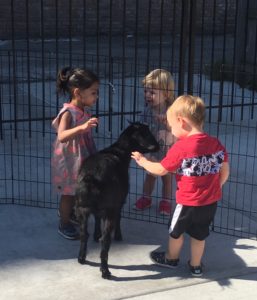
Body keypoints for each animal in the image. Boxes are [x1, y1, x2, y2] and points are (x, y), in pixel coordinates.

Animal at [75, 121, 158, 278]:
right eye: (146, 133)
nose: (158, 145)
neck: (118, 152)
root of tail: (92, 177)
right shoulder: (118, 202)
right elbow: (119, 216)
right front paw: (118, 235)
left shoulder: (97, 209)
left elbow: (96, 218)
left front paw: (96, 234)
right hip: (108, 210)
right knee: (105, 240)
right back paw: (105, 271)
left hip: (81, 208)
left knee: (83, 234)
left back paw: (82, 258)